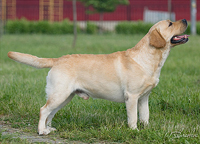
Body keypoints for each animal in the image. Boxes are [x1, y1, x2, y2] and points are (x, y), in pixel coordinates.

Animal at [7, 18, 189, 135]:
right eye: (170, 24)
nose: (186, 19)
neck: (150, 59)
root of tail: (58, 59)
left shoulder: (144, 98)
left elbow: (145, 116)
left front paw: (147, 129)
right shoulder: (131, 97)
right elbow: (133, 118)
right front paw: (135, 132)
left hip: (64, 97)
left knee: (50, 113)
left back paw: (48, 129)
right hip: (59, 94)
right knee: (43, 110)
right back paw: (41, 131)